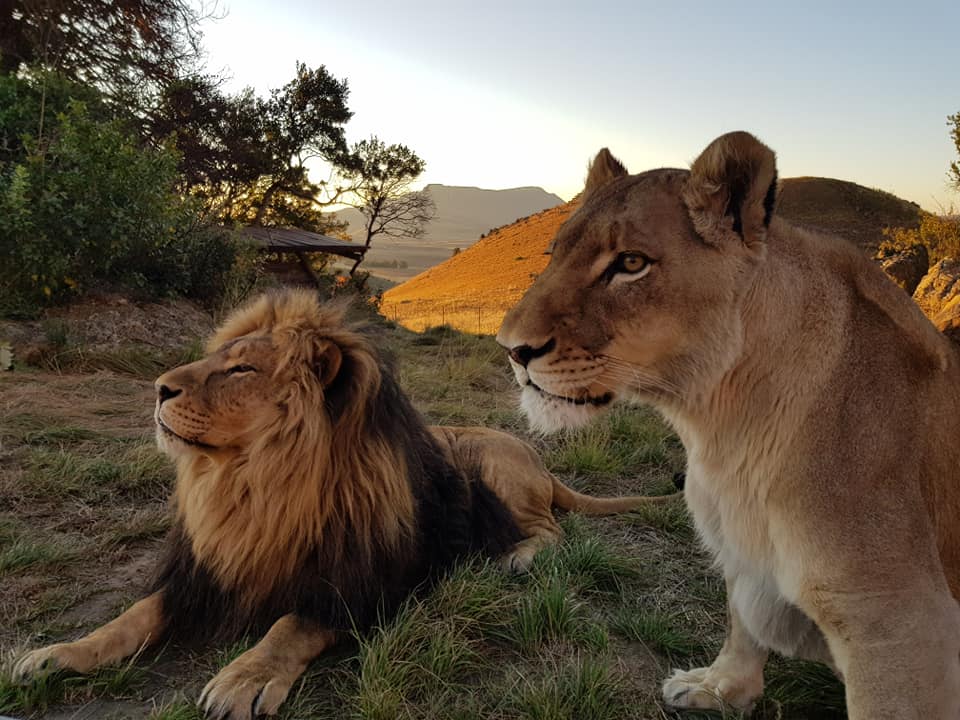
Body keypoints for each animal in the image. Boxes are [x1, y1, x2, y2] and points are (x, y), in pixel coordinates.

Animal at [14, 288, 671, 719]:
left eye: (241, 369)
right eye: (216, 359)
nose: (158, 389)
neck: (254, 485)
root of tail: (541, 461)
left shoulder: (366, 583)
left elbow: (291, 624)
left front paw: (243, 678)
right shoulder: (203, 575)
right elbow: (131, 616)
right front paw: (53, 655)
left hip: (489, 459)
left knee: (551, 531)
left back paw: (518, 557)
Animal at [496, 131, 960, 719]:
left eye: (630, 263)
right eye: (553, 254)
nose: (511, 349)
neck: (721, 427)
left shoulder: (898, 620)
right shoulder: (741, 545)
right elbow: (742, 621)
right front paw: (719, 688)